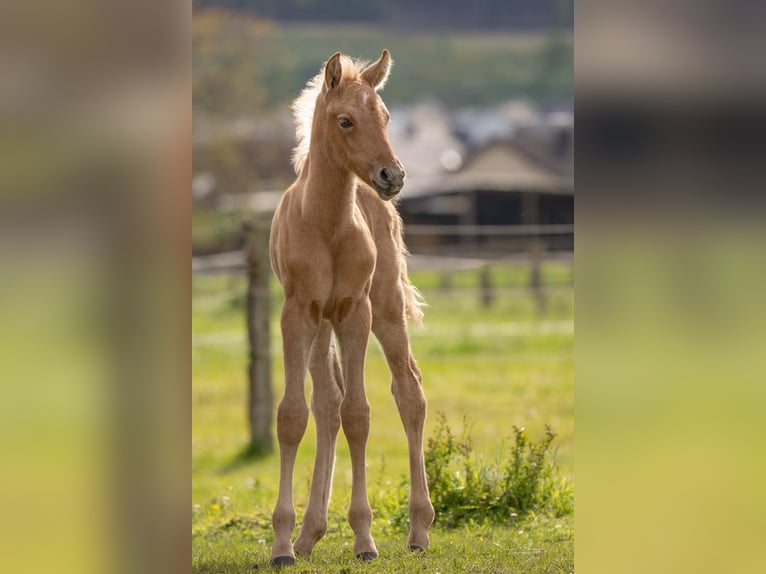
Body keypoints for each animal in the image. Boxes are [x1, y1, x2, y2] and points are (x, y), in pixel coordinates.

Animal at [268, 50, 438, 568]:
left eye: (385, 117)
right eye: (345, 120)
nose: (393, 176)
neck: (326, 224)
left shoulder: (354, 312)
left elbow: (359, 415)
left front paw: (364, 539)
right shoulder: (298, 313)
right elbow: (294, 416)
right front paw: (282, 546)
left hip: (384, 308)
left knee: (409, 392)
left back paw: (419, 529)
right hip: (321, 326)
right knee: (326, 404)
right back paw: (308, 535)